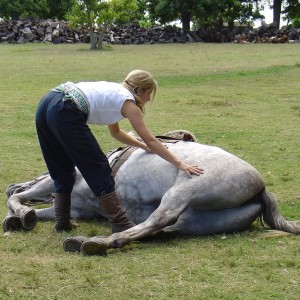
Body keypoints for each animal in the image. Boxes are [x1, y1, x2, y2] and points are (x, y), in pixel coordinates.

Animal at [2, 130, 300, 254]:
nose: (11, 184)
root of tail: (260, 188)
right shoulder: (75, 209)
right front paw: (23, 216)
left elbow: (18, 200)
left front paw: (20, 214)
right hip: (197, 221)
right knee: (164, 230)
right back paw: (97, 240)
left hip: (185, 189)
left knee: (160, 219)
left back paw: (99, 242)